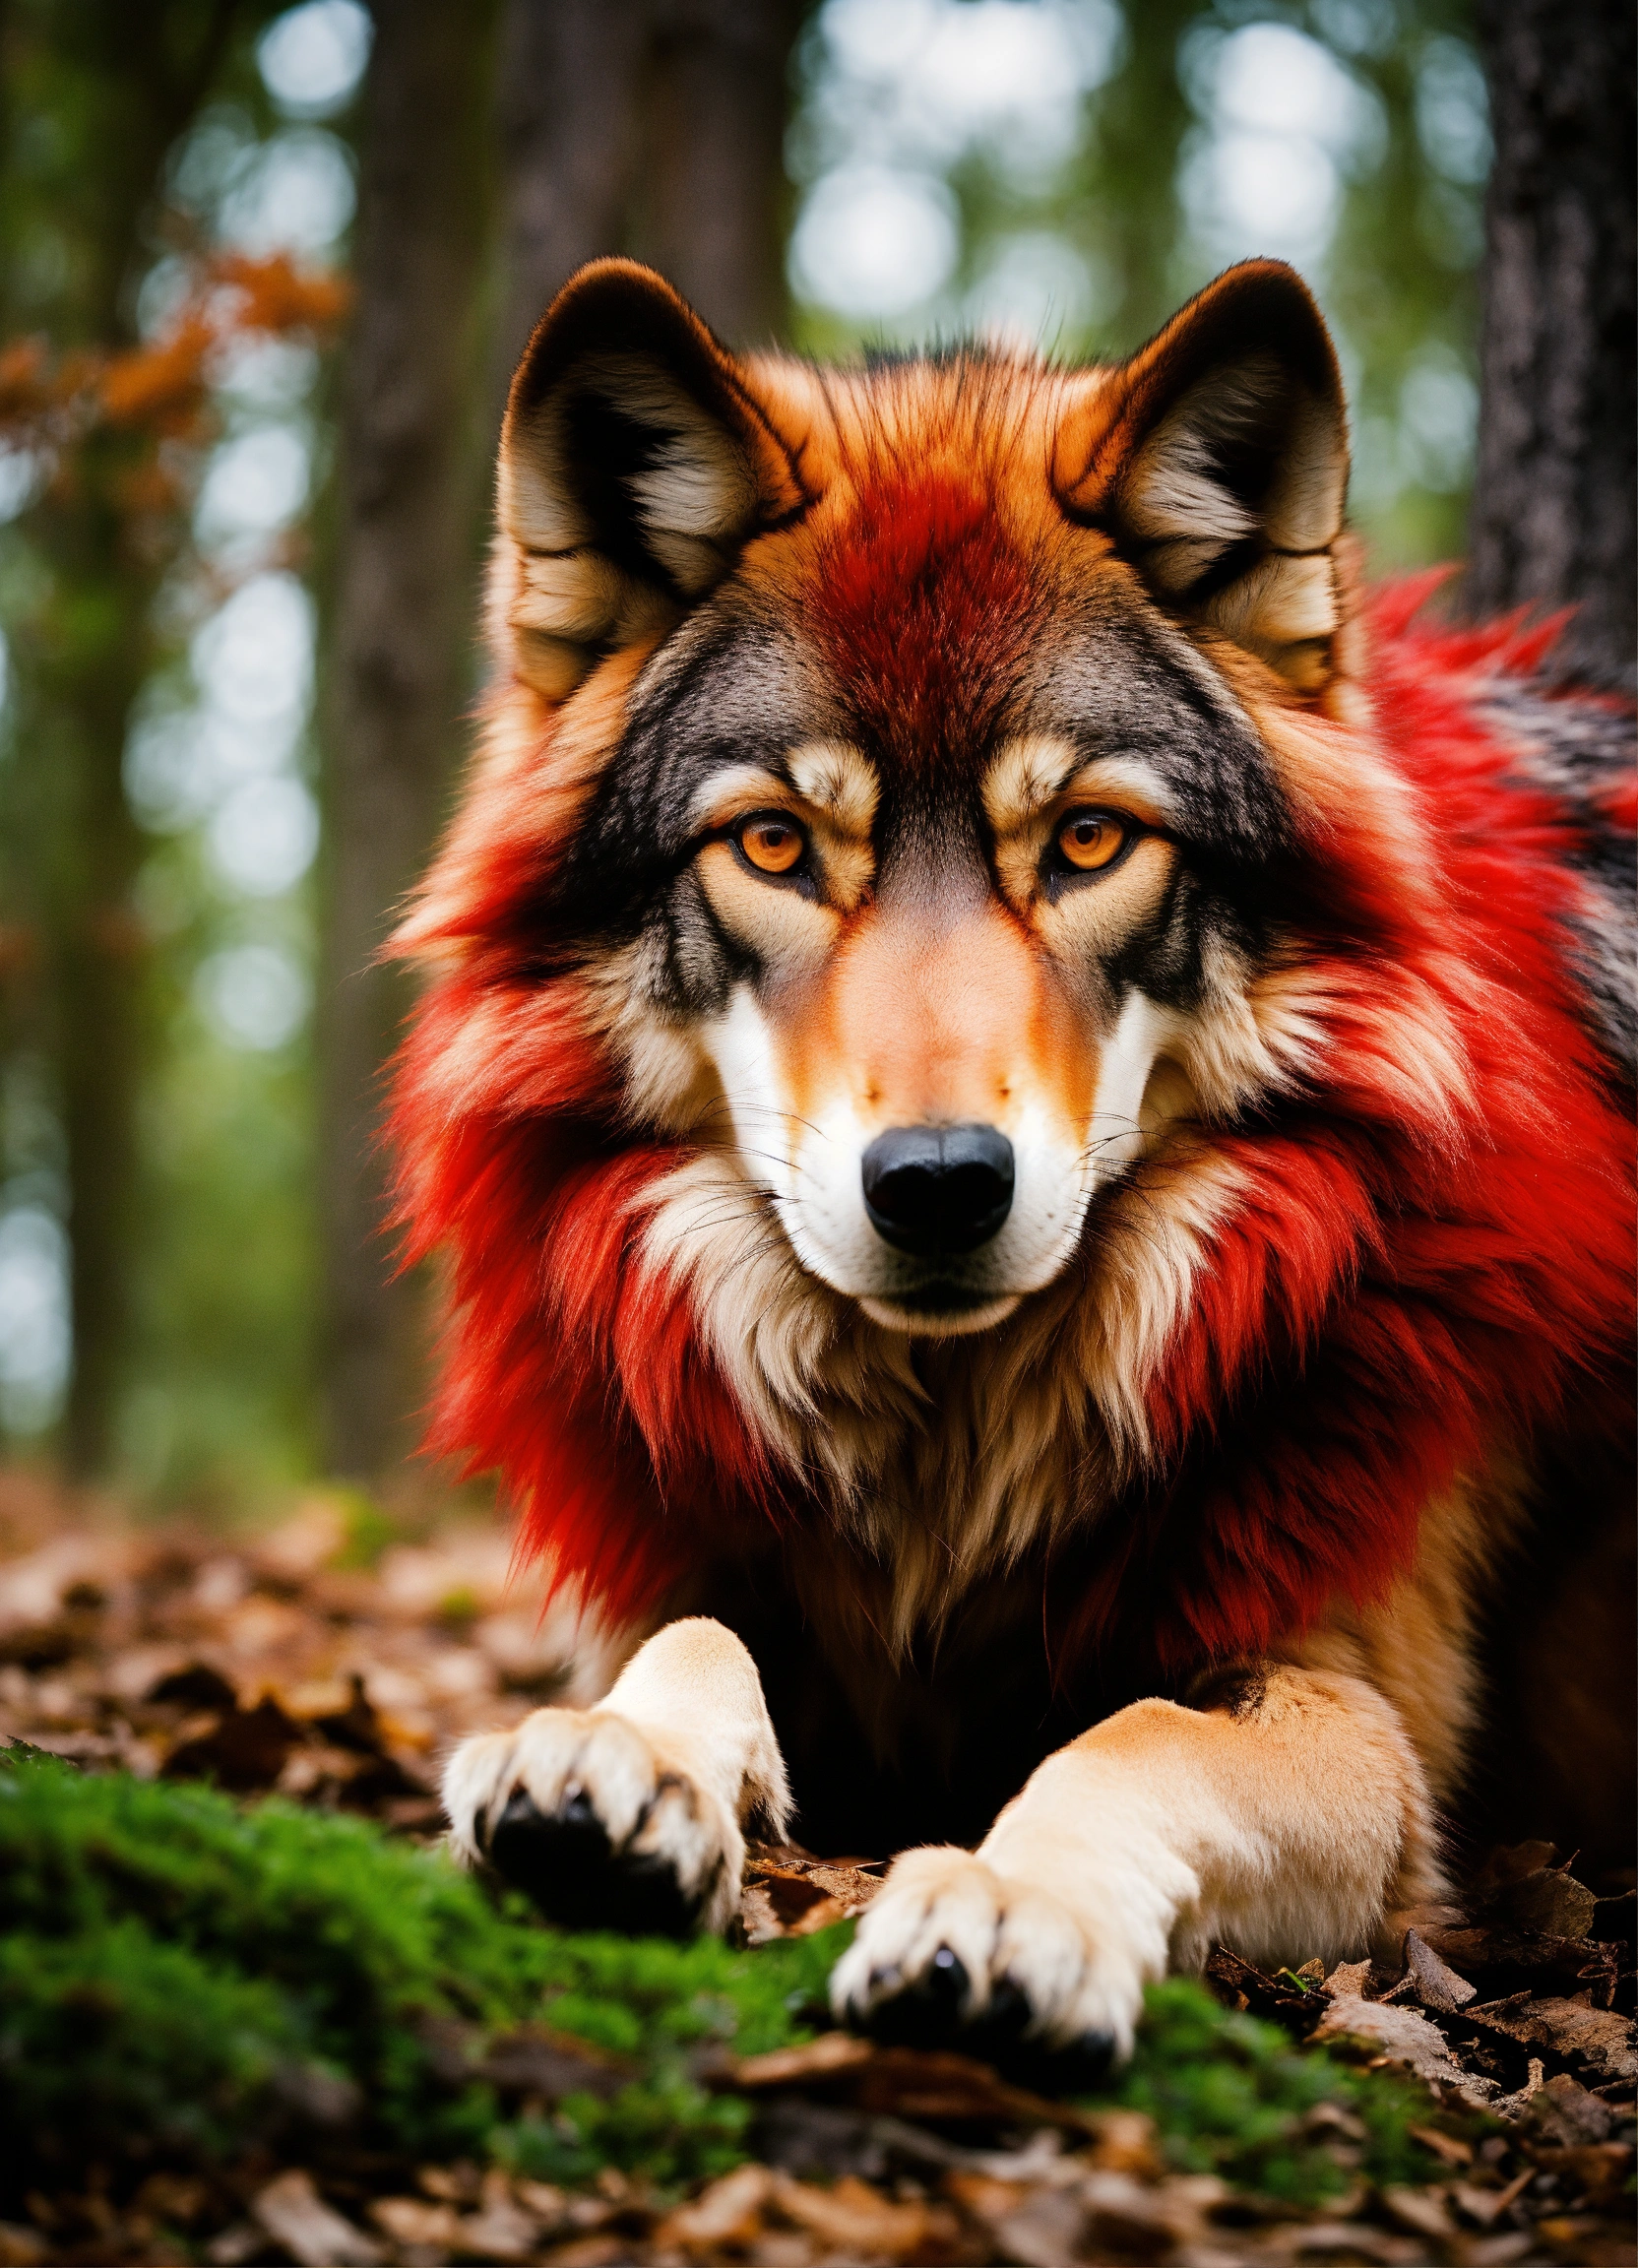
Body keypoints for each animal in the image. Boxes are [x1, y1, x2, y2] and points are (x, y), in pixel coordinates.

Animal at [390, 256, 1635, 2064]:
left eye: (1089, 839)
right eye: (775, 843)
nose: (935, 1185)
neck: (954, 1470)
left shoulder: (1373, 1724)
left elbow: (1127, 1737)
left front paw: (1002, 1900)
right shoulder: (736, 1589)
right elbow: (691, 1638)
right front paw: (611, 1759)